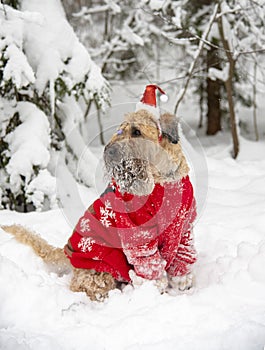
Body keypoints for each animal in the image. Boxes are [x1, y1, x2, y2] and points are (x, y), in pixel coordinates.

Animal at [0, 108, 196, 300]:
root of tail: (66, 251)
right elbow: (150, 267)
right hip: (101, 267)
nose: (109, 152)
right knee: (83, 285)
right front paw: (154, 292)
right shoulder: (139, 236)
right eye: (120, 131)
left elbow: (183, 257)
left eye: (136, 132)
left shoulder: (184, 229)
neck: (164, 182)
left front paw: (182, 283)